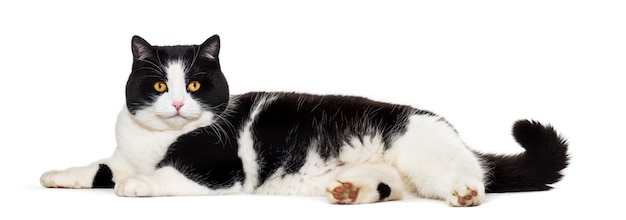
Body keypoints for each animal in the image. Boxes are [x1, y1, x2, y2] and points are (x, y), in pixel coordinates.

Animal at [37, 34, 564, 206]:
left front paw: (138, 187)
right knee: (390, 187)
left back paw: (466, 193)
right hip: (386, 173)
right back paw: (348, 191)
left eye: (196, 86)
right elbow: (98, 168)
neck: (157, 141)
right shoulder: (121, 156)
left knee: (469, 175)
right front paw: (57, 175)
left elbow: (167, 177)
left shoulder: (221, 172)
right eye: (160, 86)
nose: (179, 106)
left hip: (428, 154)